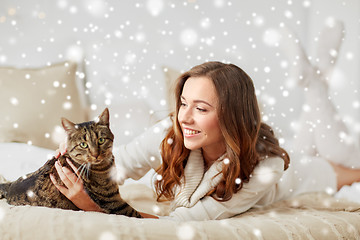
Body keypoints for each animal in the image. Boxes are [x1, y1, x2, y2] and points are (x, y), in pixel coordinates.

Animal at [0, 108, 142, 218]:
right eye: (83, 144)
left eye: (101, 140)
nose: (95, 154)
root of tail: (10, 186)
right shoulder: (113, 200)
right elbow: (137, 214)